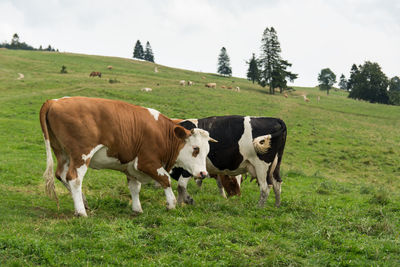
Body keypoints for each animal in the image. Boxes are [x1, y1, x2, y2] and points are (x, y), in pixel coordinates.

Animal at [39, 97, 217, 218]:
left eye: (207, 151)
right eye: (195, 148)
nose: (203, 174)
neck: (162, 133)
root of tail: (54, 101)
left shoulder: (131, 168)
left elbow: (134, 188)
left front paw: (137, 208)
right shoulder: (147, 162)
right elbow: (165, 179)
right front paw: (171, 204)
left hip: (62, 153)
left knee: (61, 175)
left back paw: (83, 203)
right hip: (81, 155)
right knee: (74, 179)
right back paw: (81, 211)